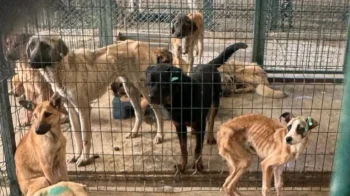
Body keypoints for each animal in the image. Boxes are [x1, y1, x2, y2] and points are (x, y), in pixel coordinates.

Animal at [25, 32, 165, 167]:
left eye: (44, 46)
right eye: (31, 46)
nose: (29, 62)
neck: (63, 70)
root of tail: (145, 45)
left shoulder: (84, 109)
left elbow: (85, 137)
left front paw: (84, 158)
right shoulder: (71, 109)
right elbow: (76, 136)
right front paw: (77, 155)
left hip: (145, 89)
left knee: (158, 112)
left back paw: (160, 135)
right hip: (129, 88)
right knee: (139, 111)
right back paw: (134, 132)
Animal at [146, 42, 247, 172]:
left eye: (163, 85)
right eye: (149, 84)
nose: (150, 97)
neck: (180, 100)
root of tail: (208, 64)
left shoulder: (199, 122)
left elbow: (198, 147)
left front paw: (198, 164)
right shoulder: (179, 126)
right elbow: (183, 147)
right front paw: (182, 164)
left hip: (215, 102)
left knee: (211, 120)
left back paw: (210, 137)